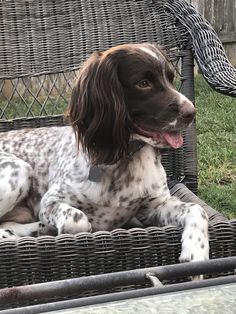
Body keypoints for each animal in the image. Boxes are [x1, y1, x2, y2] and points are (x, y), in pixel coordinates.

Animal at [0, 43, 208, 264]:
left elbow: (196, 209)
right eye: (143, 83)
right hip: (20, 170)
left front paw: (196, 251)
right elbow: (78, 221)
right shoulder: (49, 202)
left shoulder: (156, 206)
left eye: (170, 78)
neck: (122, 158)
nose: (191, 112)